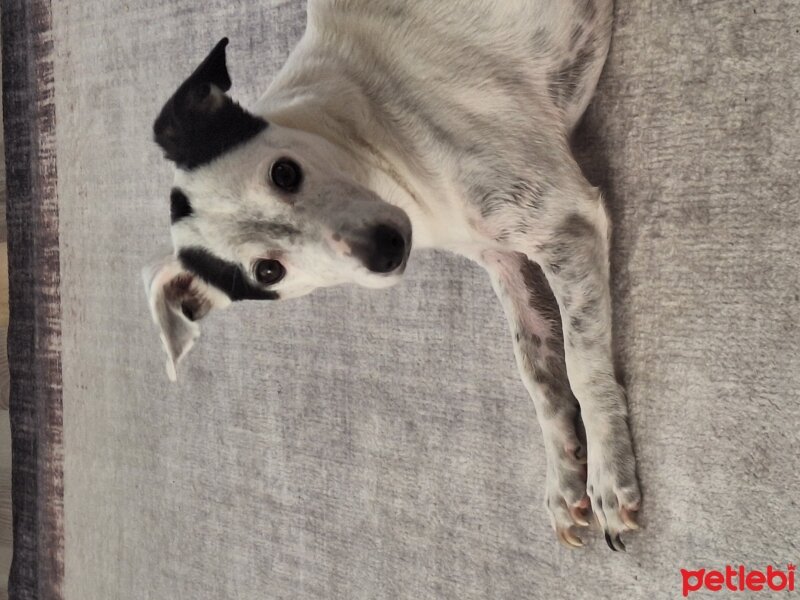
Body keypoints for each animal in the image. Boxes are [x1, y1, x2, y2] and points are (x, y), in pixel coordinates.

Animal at [145, 0, 644, 552]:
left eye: (284, 172)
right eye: (269, 270)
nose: (384, 251)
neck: (370, 130)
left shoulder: (565, 224)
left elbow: (581, 366)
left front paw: (607, 474)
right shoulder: (502, 256)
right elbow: (536, 370)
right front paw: (564, 475)